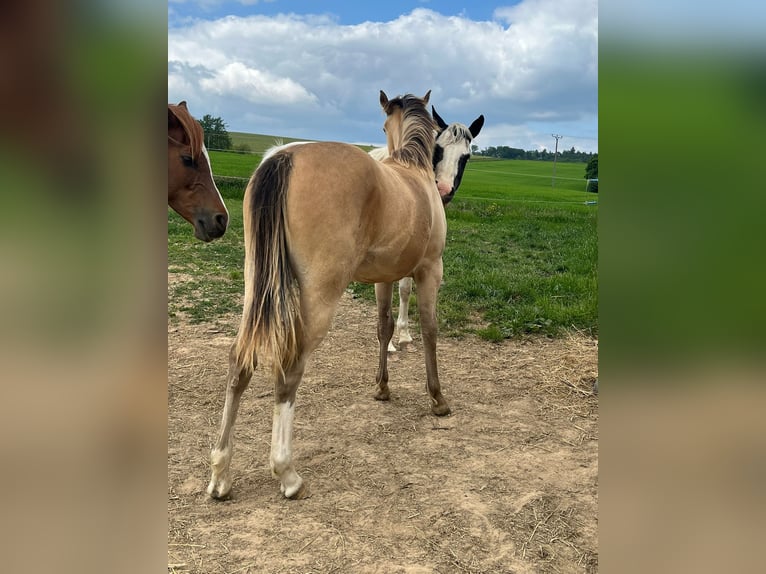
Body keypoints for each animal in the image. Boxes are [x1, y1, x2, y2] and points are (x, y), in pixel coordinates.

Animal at [207, 90, 449, 500]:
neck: (412, 172)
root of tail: (284, 157)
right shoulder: (430, 269)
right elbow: (430, 332)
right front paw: (437, 398)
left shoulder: (385, 279)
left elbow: (383, 329)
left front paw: (382, 387)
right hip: (319, 299)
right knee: (288, 370)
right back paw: (287, 473)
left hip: (255, 287)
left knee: (239, 361)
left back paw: (221, 474)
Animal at [370, 107, 484, 351]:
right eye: (438, 149)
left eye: (466, 156)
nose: (443, 189)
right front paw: (389, 342)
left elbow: (405, 289)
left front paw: (403, 334)